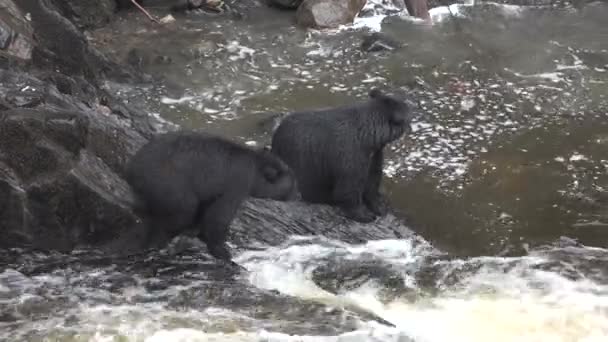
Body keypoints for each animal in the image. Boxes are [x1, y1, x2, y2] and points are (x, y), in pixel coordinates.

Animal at [123, 130, 296, 264]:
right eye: (293, 186)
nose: (296, 196)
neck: (256, 166)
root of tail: (132, 169)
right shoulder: (237, 180)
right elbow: (219, 216)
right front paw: (223, 252)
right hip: (168, 182)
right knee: (181, 211)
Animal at [270, 88, 414, 223]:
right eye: (406, 108)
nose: (411, 104)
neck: (369, 137)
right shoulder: (350, 153)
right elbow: (349, 187)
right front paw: (364, 215)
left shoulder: (374, 155)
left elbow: (372, 180)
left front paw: (379, 207)